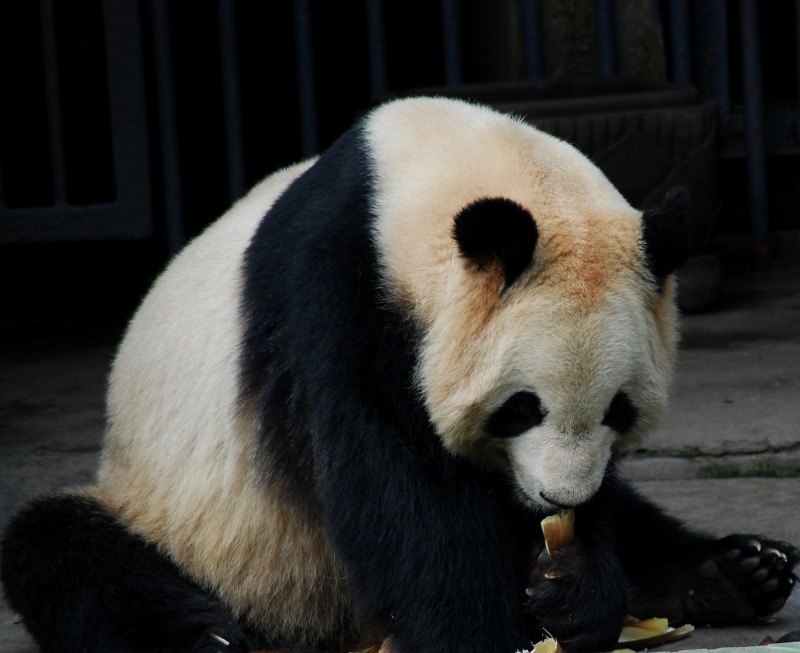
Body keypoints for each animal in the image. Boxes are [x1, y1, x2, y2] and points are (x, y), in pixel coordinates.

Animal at [1, 98, 800, 652]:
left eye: (619, 410)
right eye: (522, 408)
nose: (556, 497)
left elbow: (601, 505)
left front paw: (574, 590)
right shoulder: (335, 299)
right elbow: (395, 483)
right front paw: (482, 630)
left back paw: (738, 571)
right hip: (181, 515)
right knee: (64, 550)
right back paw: (211, 635)